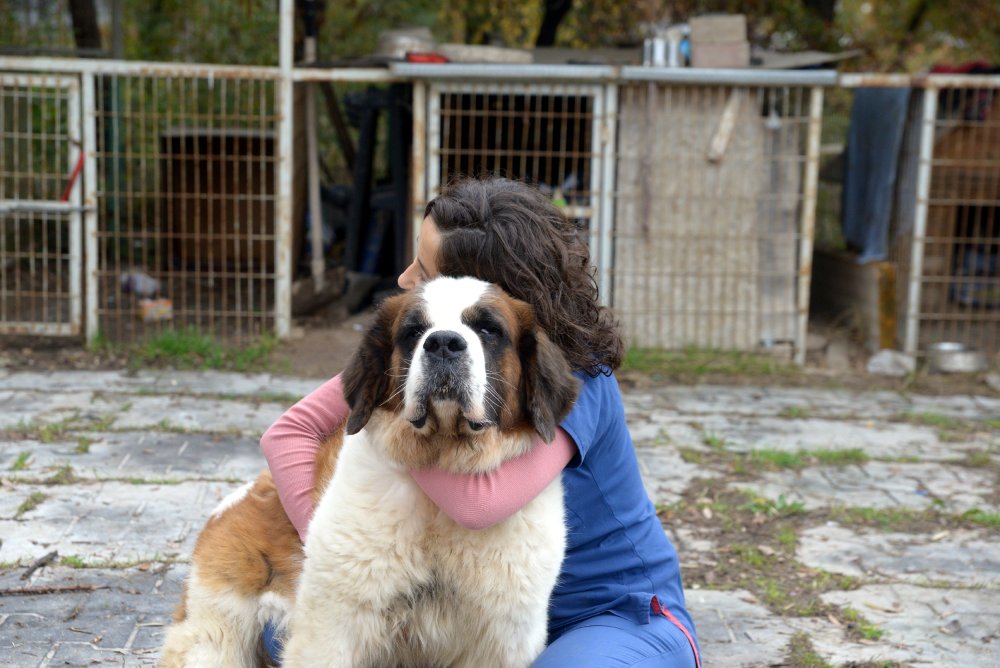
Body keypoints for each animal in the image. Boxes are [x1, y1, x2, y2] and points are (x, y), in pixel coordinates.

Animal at [156, 274, 580, 664]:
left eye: (488, 330)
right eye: (414, 332)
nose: (443, 342)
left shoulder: (504, 638)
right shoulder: (332, 629)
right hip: (214, 637)